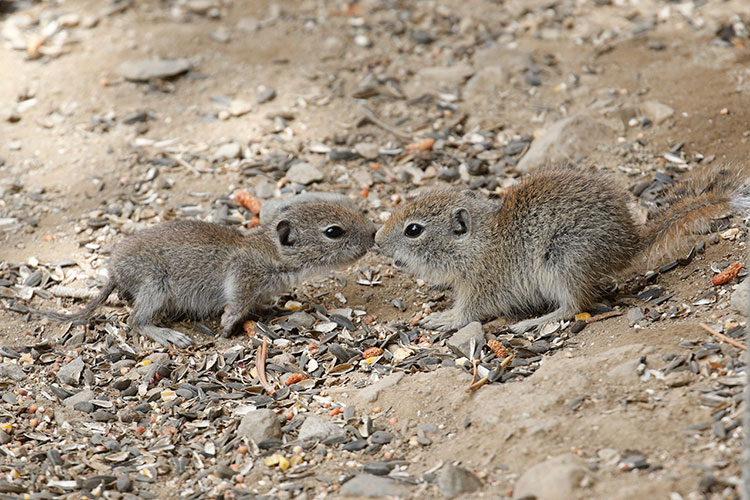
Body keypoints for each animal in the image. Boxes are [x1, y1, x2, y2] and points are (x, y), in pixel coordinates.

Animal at [36, 199, 375, 347]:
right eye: (333, 231)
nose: (374, 233)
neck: (272, 250)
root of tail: (114, 272)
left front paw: (271, 308)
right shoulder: (243, 273)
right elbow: (236, 303)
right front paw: (227, 326)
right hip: (156, 285)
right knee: (135, 321)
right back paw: (170, 335)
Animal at [375, 167, 750, 333]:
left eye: (413, 230)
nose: (377, 240)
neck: (479, 244)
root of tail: (628, 244)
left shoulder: (482, 289)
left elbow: (466, 314)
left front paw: (443, 319)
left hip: (561, 261)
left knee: (575, 306)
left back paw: (532, 323)